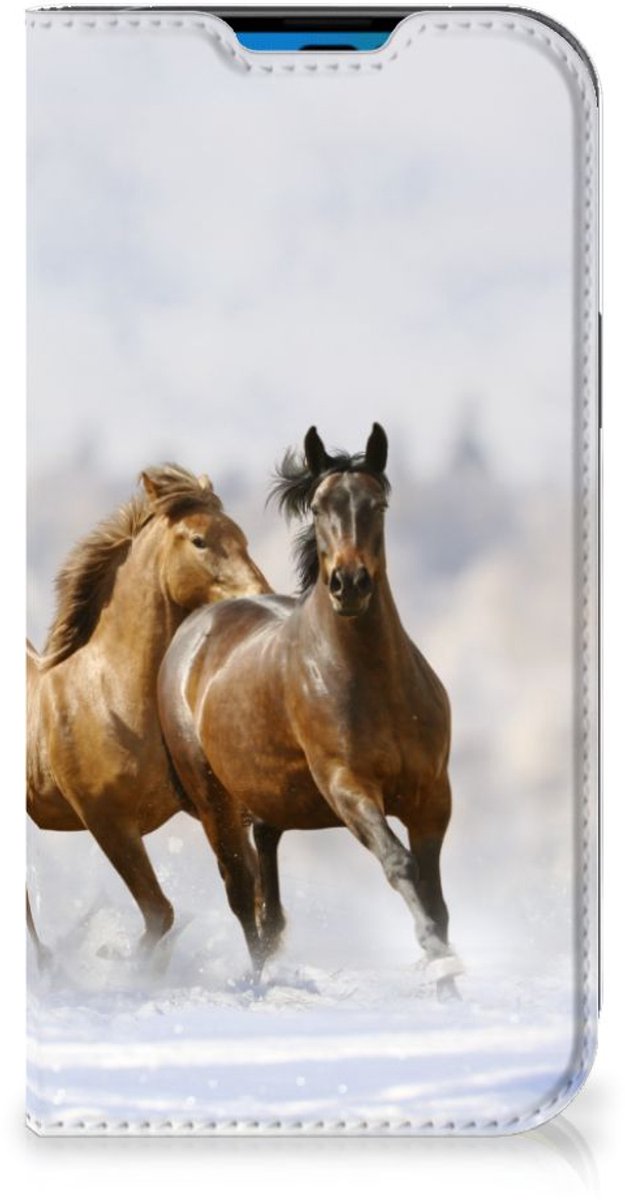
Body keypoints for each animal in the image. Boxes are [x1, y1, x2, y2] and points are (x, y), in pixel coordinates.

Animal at [27, 464, 269, 955]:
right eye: (199, 540)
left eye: (242, 536)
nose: (260, 594)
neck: (110, 697)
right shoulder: (108, 823)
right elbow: (160, 913)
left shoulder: (211, 807)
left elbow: (245, 893)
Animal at [158, 426, 463, 997]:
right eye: (319, 507)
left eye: (377, 504)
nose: (349, 583)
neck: (374, 682)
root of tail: (194, 629)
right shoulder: (348, 787)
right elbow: (400, 865)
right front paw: (438, 962)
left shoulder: (432, 796)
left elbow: (435, 896)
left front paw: (449, 984)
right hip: (214, 803)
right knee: (242, 893)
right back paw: (258, 985)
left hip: (270, 800)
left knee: (267, 892)